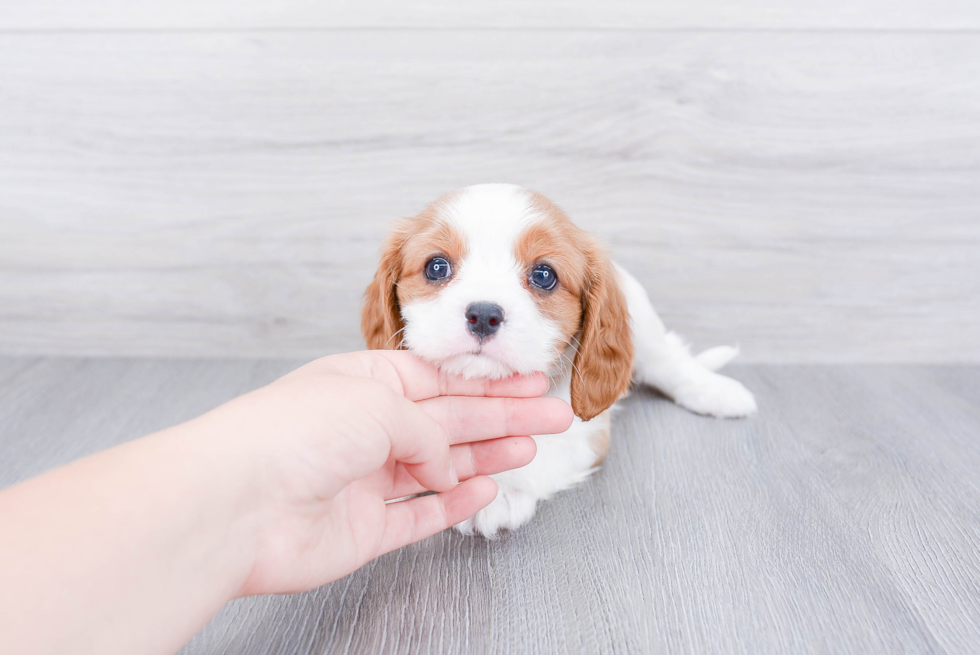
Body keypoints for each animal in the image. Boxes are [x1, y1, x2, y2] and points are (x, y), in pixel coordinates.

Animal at [364, 184, 756, 540]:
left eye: (543, 275)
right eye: (436, 267)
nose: (484, 315)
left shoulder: (590, 436)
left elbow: (538, 451)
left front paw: (499, 490)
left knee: (667, 358)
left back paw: (715, 392)